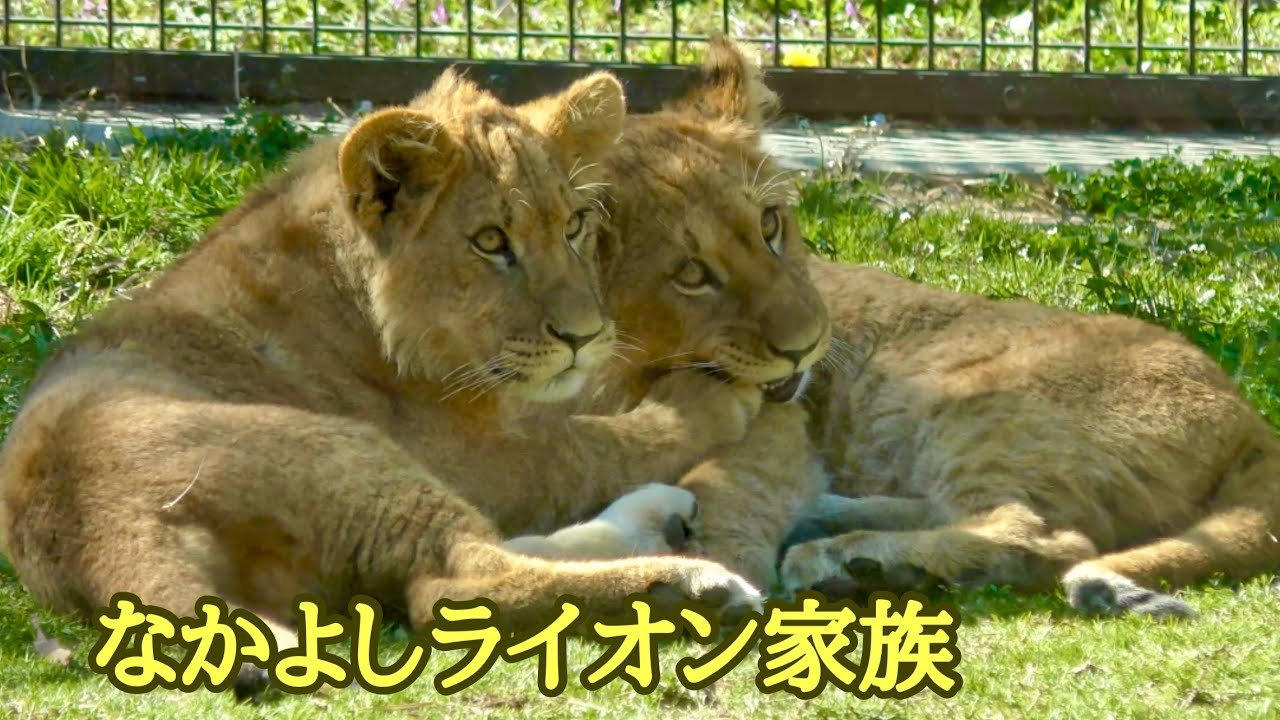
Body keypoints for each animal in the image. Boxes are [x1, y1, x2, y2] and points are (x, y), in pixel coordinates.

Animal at [0, 69, 775, 699]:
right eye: (491, 242)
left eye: (576, 225)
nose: (584, 336)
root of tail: (88, 526)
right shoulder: (476, 452)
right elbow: (591, 444)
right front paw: (706, 399)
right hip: (344, 451)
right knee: (461, 584)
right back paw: (692, 587)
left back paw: (658, 521)